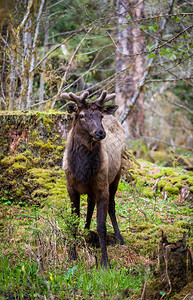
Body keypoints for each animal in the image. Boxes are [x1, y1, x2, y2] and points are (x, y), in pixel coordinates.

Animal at [61, 89, 126, 268]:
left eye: (100, 116)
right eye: (82, 115)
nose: (100, 133)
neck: (82, 171)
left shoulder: (102, 186)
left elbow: (101, 226)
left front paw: (105, 262)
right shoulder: (71, 188)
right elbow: (73, 222)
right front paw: (72, 255)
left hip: (116, 175)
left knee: (112, 205)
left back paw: (119, 237)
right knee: (90, 203)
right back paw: (85, 229)